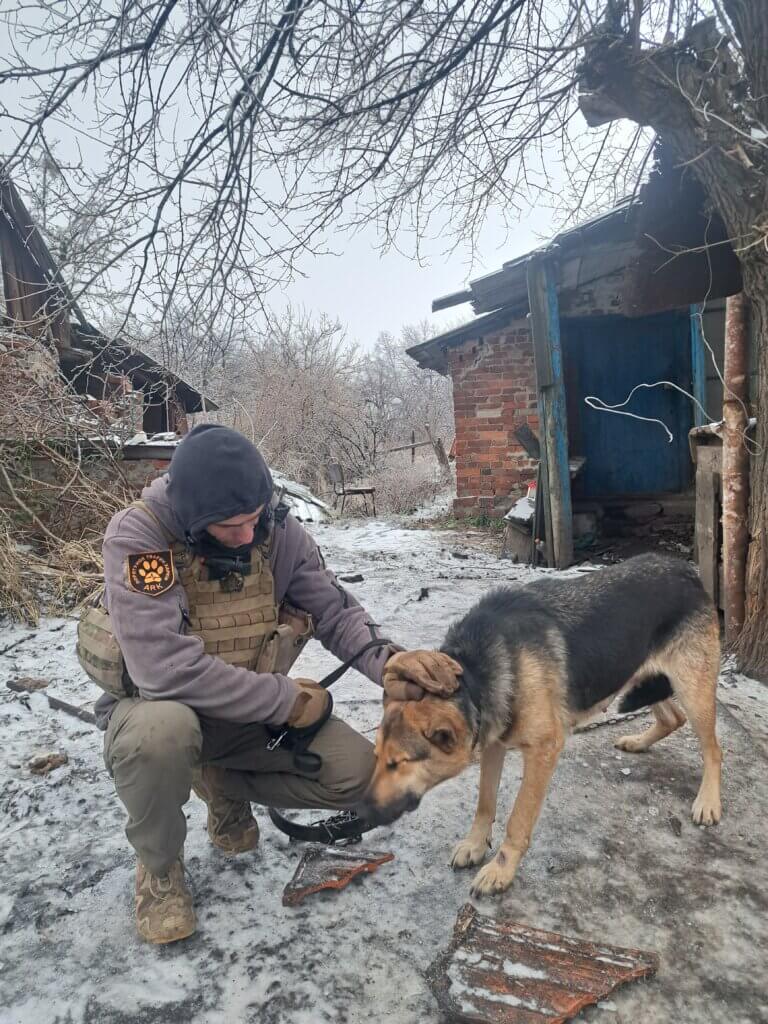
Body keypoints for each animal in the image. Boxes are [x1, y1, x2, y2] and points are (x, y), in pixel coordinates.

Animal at [364, 561, 724, 897]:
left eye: (398, 763)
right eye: (377, 757)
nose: (363, 813)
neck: (475, 673)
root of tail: (685, 570)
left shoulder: (544, 749)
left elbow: (518, 819)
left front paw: (500, 870)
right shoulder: (494, 744)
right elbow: (485, 803)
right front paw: (475, 845)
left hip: (692, 689)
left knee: (713, 748)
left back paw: (708, 801)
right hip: (635, 675)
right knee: (671, 718)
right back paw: (638, 742)